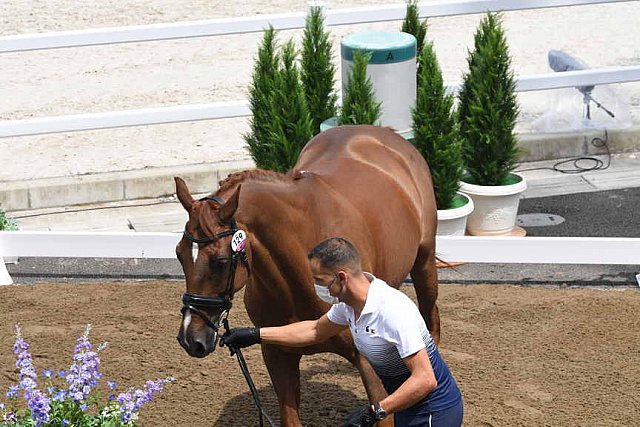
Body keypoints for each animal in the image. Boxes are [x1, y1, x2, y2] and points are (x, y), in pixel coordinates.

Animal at [175, 125, 440, 426]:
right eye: (179, 254)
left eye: (219, 261)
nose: (190, 339)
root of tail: (384, 132)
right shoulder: (277, 354)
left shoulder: (369, 363)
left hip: (424, 261)